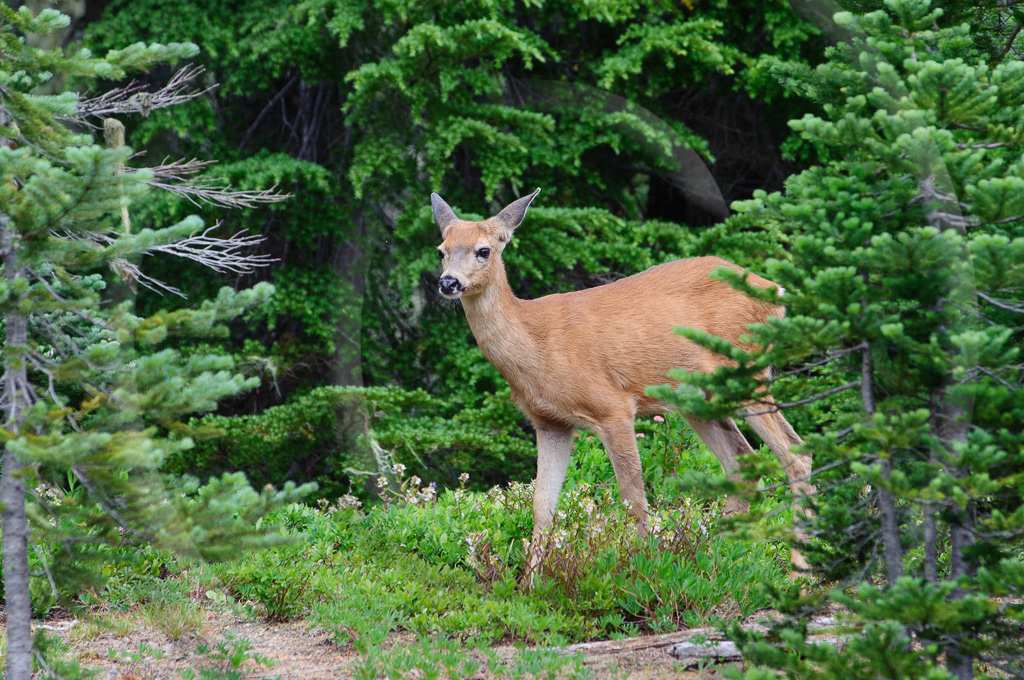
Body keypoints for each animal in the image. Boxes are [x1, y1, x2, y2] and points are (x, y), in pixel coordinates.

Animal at [432, 187, 815, 573]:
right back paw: (714, 555)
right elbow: (542, 506)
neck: (536, 345)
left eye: (484, 250)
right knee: (741, 460)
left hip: (749, 371)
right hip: (701, 397)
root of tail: (777, 293)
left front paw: (639, 568)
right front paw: (531, 580)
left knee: (796, 454)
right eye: (441, 250)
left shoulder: (613, 407)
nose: (448, 282)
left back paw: (798, 568)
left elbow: (634, 499)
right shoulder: (550, 423)